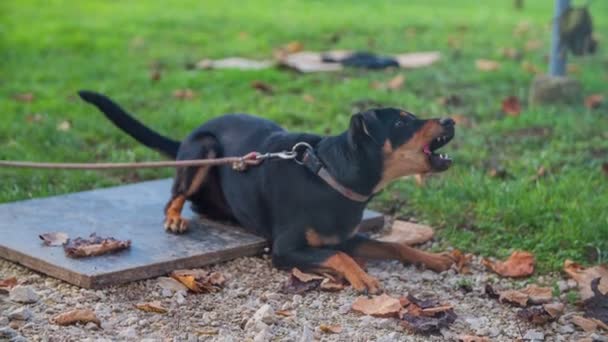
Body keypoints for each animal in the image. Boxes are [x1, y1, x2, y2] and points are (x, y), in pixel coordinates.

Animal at [78, 91, 454, 294]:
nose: (451, 120)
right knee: (175, 195)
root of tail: (189, 135)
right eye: (402, 121)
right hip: (204, 146)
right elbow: (339, 257)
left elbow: (394, 246)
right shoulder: (285, 249)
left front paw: (437, 259)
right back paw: (174, 218)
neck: (331, 174)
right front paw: (361, 277)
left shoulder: (347, 237)